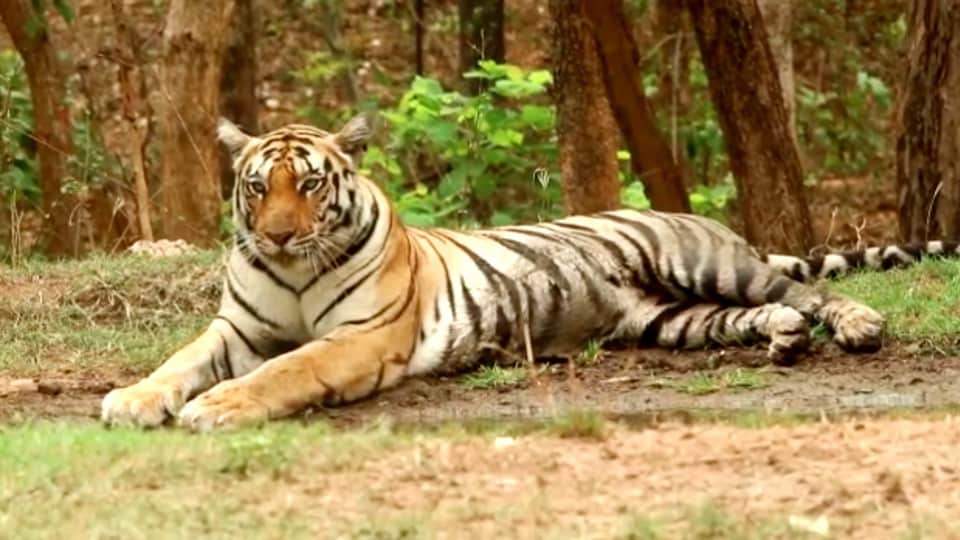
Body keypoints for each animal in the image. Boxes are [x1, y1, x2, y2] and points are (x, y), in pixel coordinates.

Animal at [100, 114, 960, 431]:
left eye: (309, 185)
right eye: (257, 187)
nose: (277, 235)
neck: (294, 273)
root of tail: (716, 227)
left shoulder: (360, 337)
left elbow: (288, 370)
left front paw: (217, 408)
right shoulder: (237, 330)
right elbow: (176, 362)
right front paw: (133, 399)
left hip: (708, 265)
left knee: (808, 289)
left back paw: (856, 325)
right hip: (670, 318)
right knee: (765, 314)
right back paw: (783, 341)